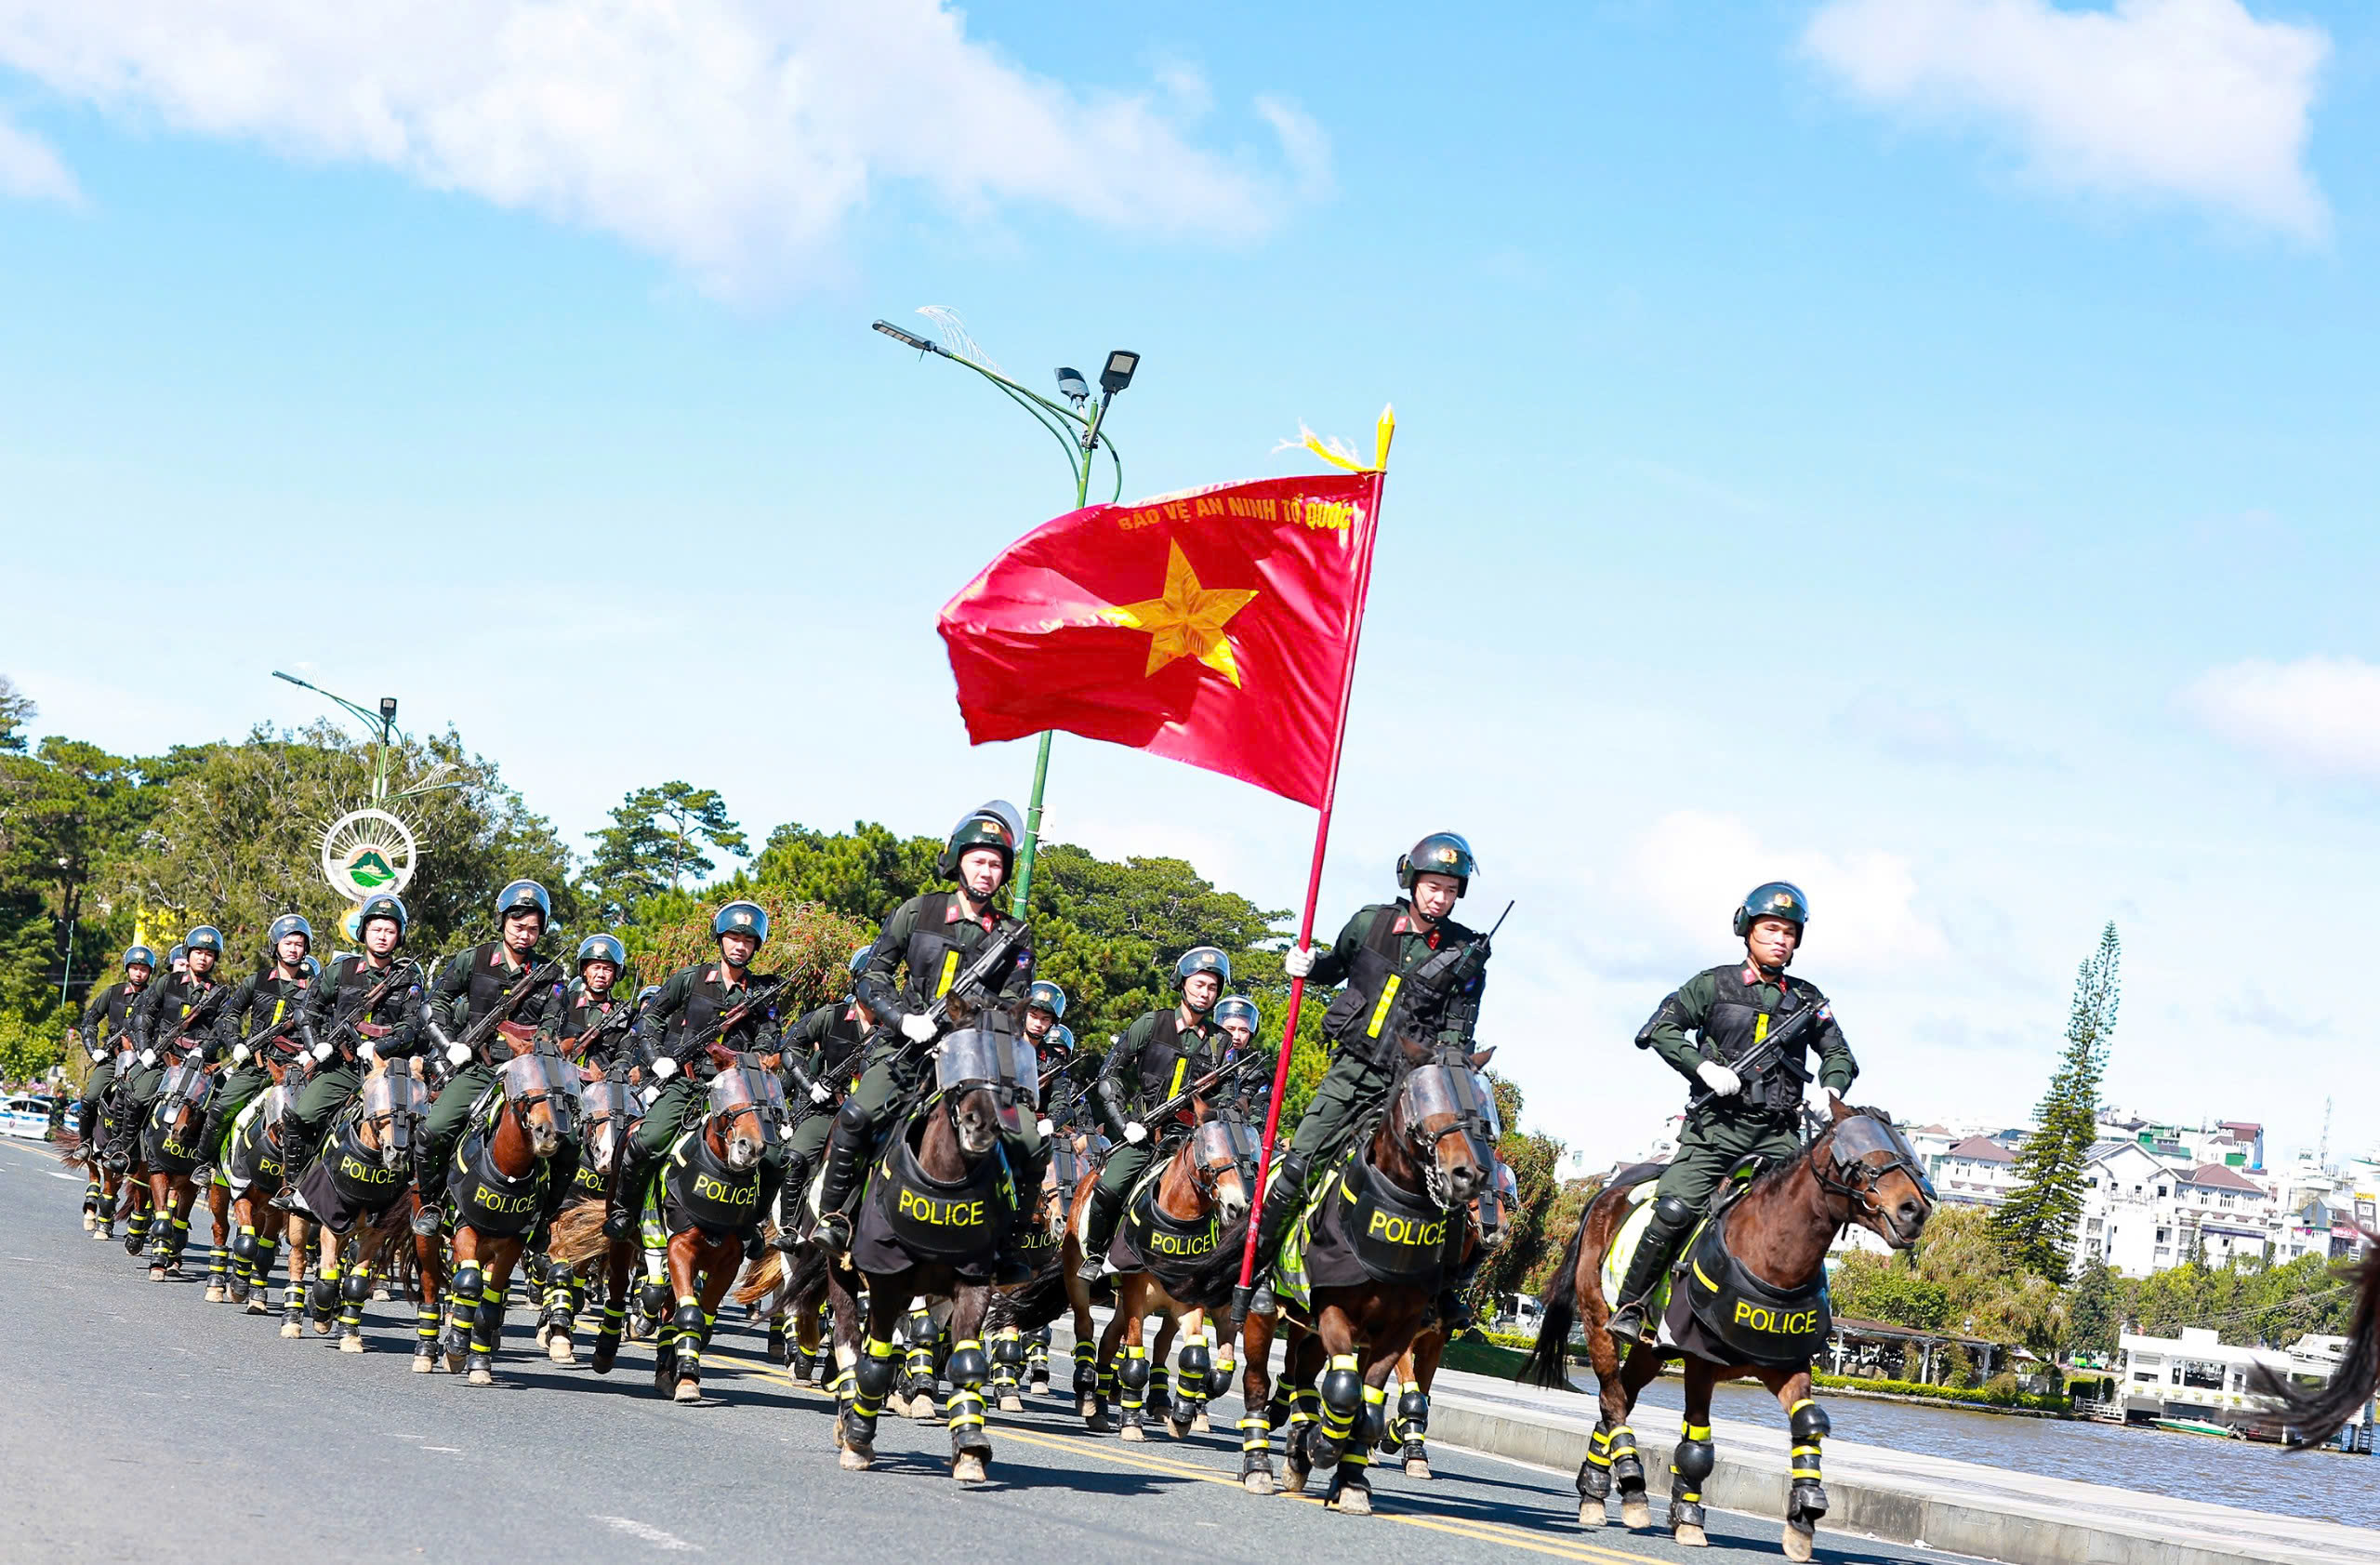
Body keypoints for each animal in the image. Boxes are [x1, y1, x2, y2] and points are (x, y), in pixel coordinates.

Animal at [432, 1048, 575, 1381]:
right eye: (524, 1089)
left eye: (563, 1089)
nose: (548, 1133)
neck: (508, 1172)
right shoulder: (463, 1229)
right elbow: (469, 1282)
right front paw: (456, 1349)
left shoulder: (513, 1243)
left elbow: (492, 1297)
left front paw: (478, 1360)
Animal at [1523, 1091, 1932, 1553]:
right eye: (1859, 1157)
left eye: (1906, 1150)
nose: (1914, 1210)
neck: (1770, 1254)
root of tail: (1607, 1194)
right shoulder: (1701, 1362)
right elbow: (1697, 1447)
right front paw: (1688, 1518)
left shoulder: (1786, 1363)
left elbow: (1807, 1423)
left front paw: (1803, 1515)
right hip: (1597, 1322)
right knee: (1613, 1398)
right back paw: (1627, 1486)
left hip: (1649, 1351)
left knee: (1620, 1399)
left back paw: (1600, 1486)